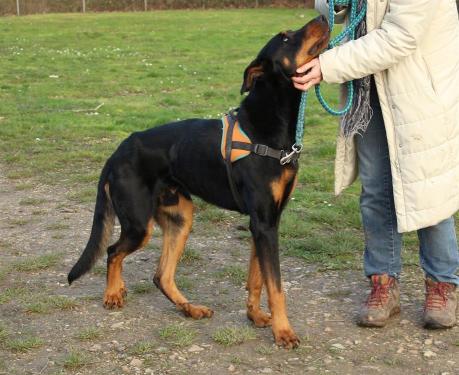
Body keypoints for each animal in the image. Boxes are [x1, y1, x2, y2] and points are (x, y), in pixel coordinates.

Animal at [68, 16, 330, 348]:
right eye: (285, 37)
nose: (325, 16)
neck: (268, 126)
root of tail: (116, 153)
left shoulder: (266, 224)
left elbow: (257, 279)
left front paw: (255, 316)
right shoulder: (263, 224)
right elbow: (276, 286)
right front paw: (283, 332)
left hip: (180, 218)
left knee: (161, 275)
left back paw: (190, 308)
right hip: (139, 224)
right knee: (114, 251)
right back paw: (113, 293)